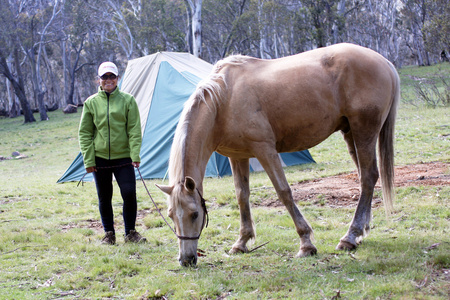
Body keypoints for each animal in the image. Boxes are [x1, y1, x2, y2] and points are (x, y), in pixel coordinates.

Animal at [156, 43, 400, 266]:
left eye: (195, 214)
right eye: (171, 215)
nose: (186, 259)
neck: (224, 99)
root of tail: (385, 62)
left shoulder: (265, 150)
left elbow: (284, 192)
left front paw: (306, 244)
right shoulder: (238, 156)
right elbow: (242, 196)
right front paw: (242, 242)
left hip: (364, 131)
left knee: (367, 177)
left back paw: (350, 236)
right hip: (351, 134)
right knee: (366, 178)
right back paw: (360, 232)